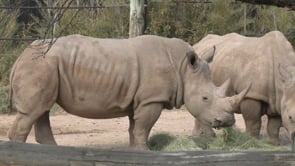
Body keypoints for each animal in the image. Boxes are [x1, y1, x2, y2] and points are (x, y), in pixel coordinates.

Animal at [8, 34, 250, 150]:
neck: (183, 69)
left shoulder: (141, 99)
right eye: (205, 98)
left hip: (44, 65)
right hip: (40, 64)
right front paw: (146, 151)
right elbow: (144, 127)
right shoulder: (151, 100)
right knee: (34, 111)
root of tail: (19, 57)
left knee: (42, 109)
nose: (227, 122)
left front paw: (136, 151)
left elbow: (135, 127)